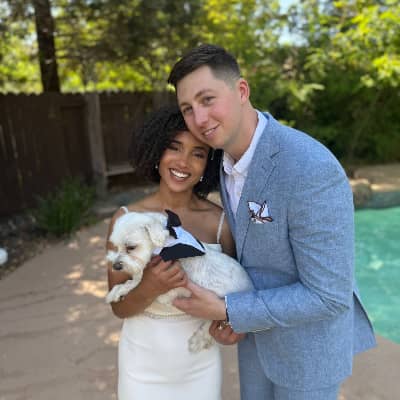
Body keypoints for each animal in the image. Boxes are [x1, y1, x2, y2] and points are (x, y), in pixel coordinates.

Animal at [106, 210, 253, 352]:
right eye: (116, 246)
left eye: (131, 247)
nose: (116, 266)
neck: (167, 244)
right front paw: (116, 291)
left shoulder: (169, 291)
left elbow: (137, 281)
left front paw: (118, 290)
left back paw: (198, 341)